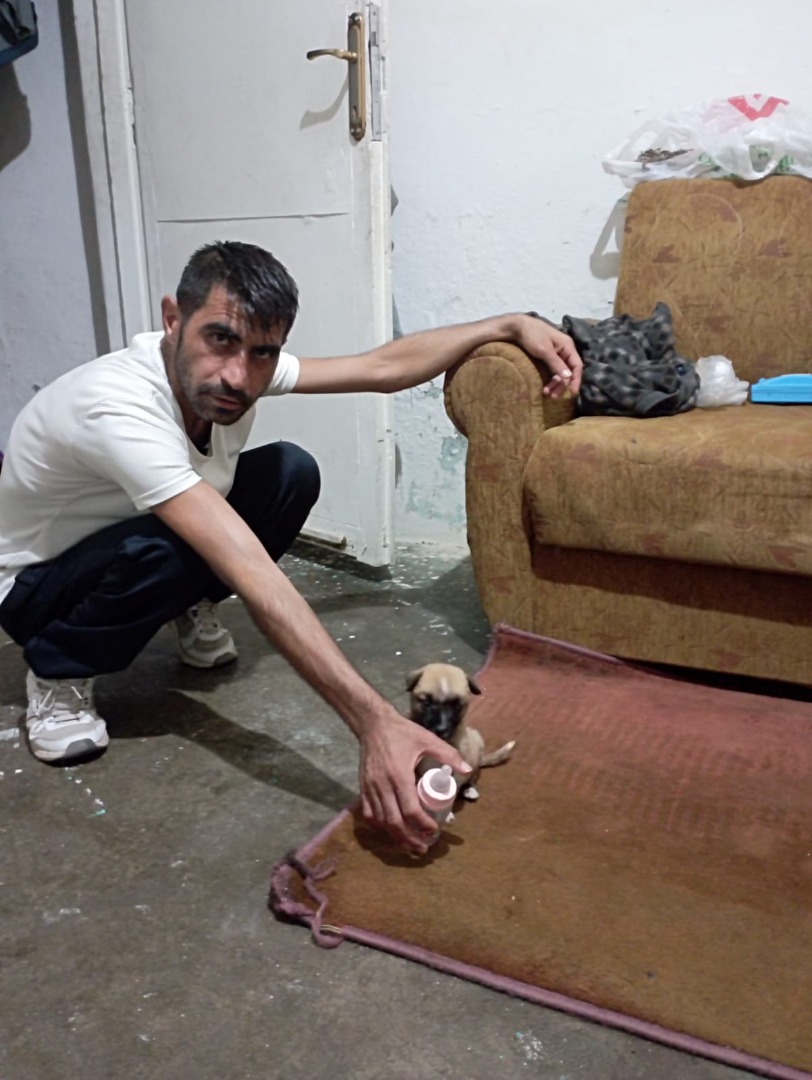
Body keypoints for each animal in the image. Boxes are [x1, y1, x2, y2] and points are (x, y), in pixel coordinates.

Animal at [406, 663, 515, 802]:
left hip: (477, 746)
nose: (441, 729)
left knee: (474, 774)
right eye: (426, 702)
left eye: (457, 706)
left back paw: (470, 788)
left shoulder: (459, 767)